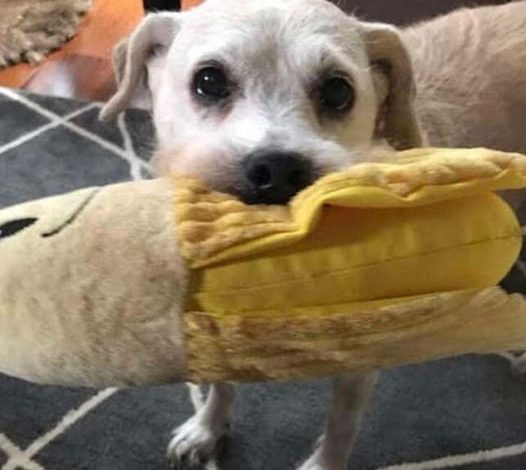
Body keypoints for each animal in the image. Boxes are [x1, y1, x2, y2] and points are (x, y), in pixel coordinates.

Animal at [101, 1, 526, 468]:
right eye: (208, 80)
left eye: (338, 91)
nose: (277, 170)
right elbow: (221, 384)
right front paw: (207, 428)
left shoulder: (363, 358)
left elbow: (341, 424)